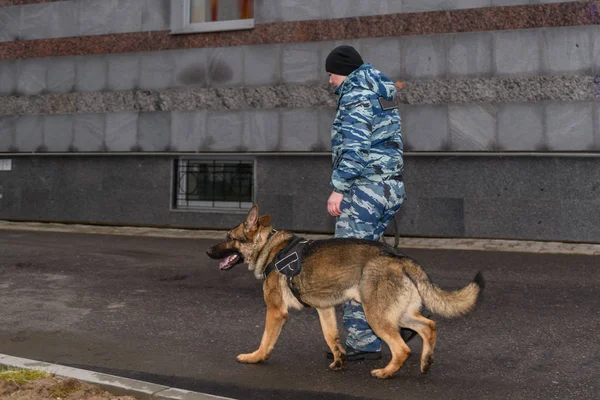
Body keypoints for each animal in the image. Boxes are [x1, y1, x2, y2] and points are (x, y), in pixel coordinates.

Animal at [206, 205, 482, 380]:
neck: (270, 248)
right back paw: (425, 362)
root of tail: (399, 257)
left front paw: (255, 357)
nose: (208, 251)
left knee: (403, 348)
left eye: (229, 237)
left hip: (376, 316)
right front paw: (339, 360)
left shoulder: (276, 312)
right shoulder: (324, 309)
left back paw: (386, 372)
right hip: (397, 314)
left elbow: (266, 340)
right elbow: (331, 337)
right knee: (429, 326)